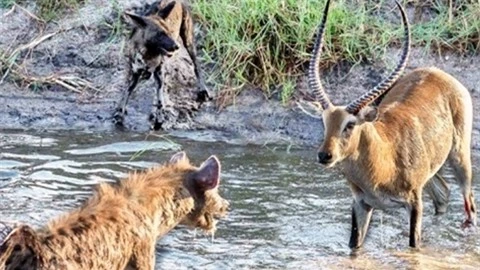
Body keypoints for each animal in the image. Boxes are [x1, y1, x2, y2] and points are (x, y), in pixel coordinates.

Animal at [304, 0, 476, 249]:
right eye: (325, 122)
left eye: (350, 124)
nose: (325, 155)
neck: (384, 157)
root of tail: (438, 73)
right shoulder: (361, 204)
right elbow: (354, 247)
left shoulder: (414, 202)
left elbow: (414, 245)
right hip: (431, 172)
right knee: (443, 193)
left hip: (459, 157)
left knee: (469, 204)